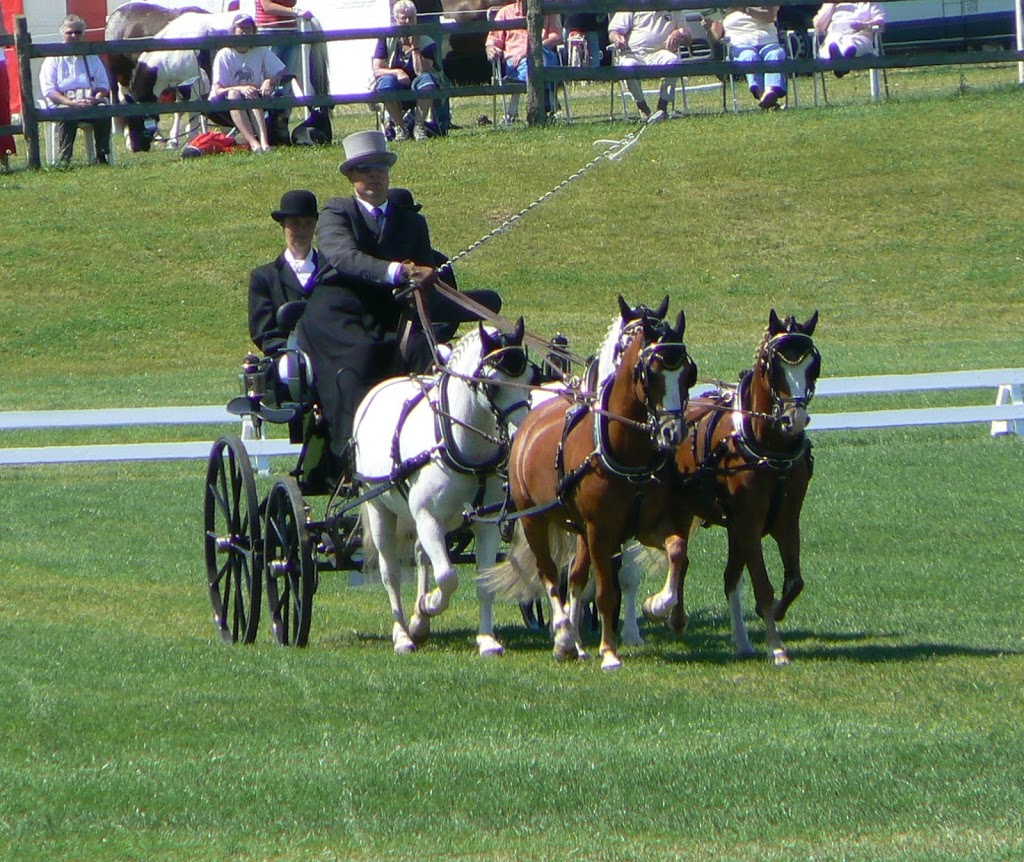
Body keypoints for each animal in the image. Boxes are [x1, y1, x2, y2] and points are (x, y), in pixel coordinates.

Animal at [352, 319, 532, 655]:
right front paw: (432, 603)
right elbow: (448, 576)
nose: (522, 434)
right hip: (380, 508)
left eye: (531, 378)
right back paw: (403, 634)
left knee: (421, 555)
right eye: (493, 385)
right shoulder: (429, 519)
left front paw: (486, 640)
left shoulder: (485, 523)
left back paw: (418, 623)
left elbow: (483, 583)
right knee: (390, 571)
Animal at [626, 309, 819, 663]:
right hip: (683, 511)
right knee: (680, 560)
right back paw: (666, 614)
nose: (794, 420)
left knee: (725, 575)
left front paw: (774, 614)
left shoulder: (785, 519)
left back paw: (739, 640)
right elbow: (763, 585)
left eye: (813, 364)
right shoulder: (749, 520)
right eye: (775, 367)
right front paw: (776, 646)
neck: (767, 447)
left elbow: (793, 582)